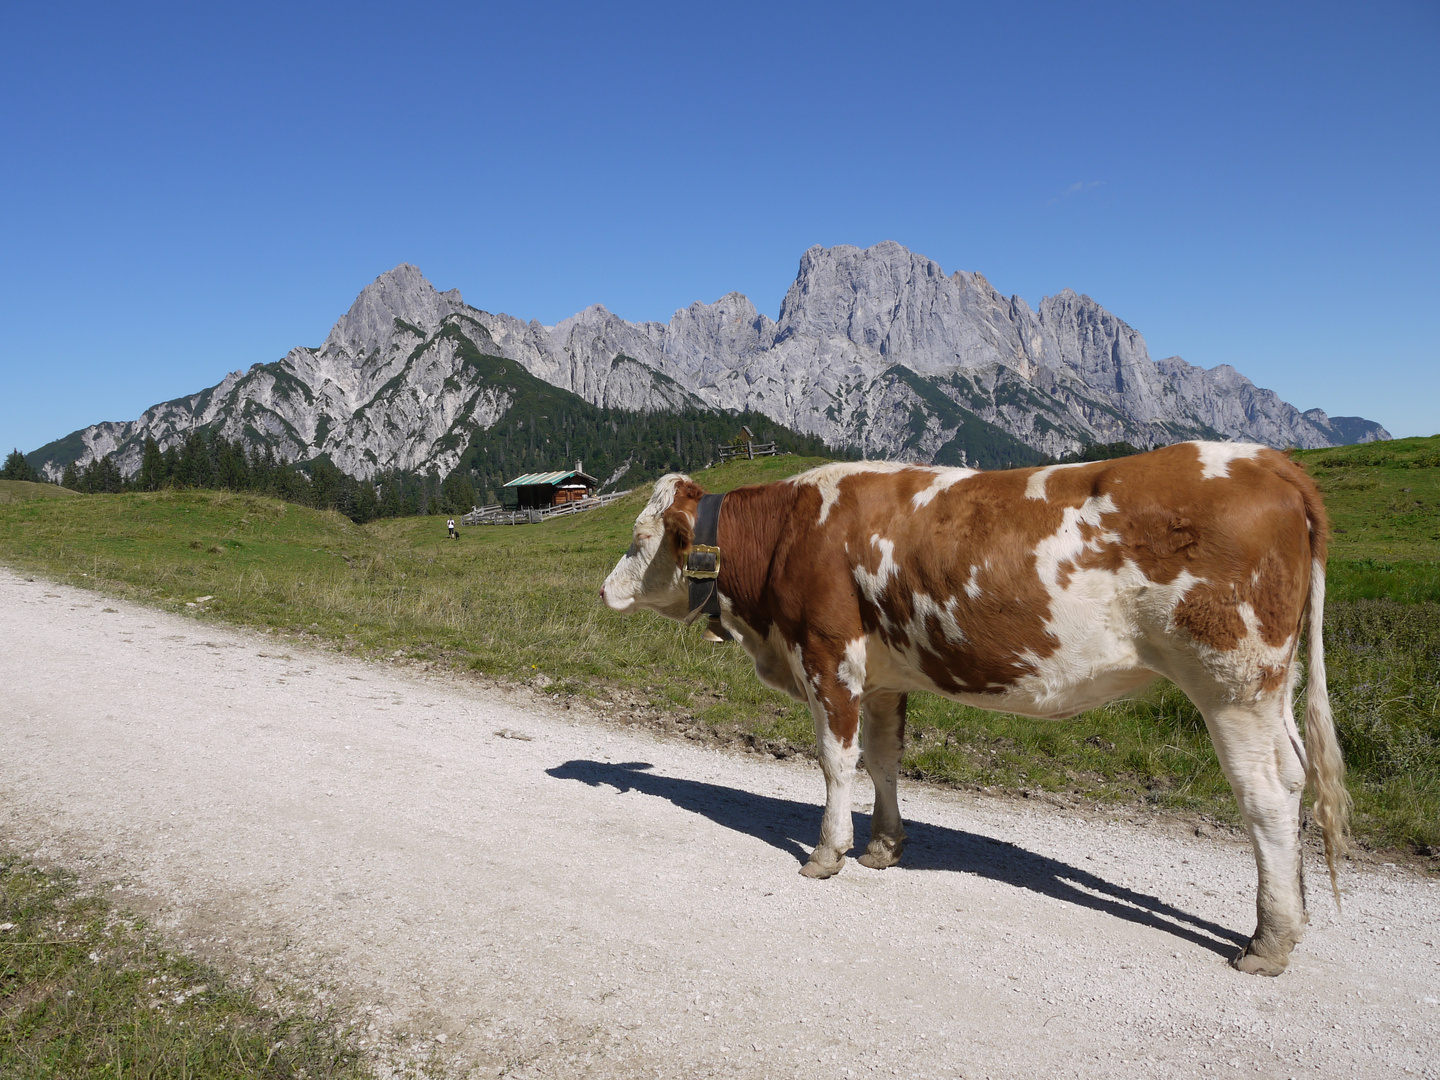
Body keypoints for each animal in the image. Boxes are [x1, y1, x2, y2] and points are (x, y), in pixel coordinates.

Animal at [599, 443, 1347, 979]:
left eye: (638, 537)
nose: (604, 589)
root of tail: (1270, 461)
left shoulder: (829, 655)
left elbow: (837, 762)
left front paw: (828, 852)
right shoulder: (883, 675)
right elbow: (884, 760)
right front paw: (883, 846)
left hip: (1231, 682)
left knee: (1265, 796)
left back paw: (1268, 939)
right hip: (1271, 688)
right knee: (1295, 775)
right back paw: (1295, 915)